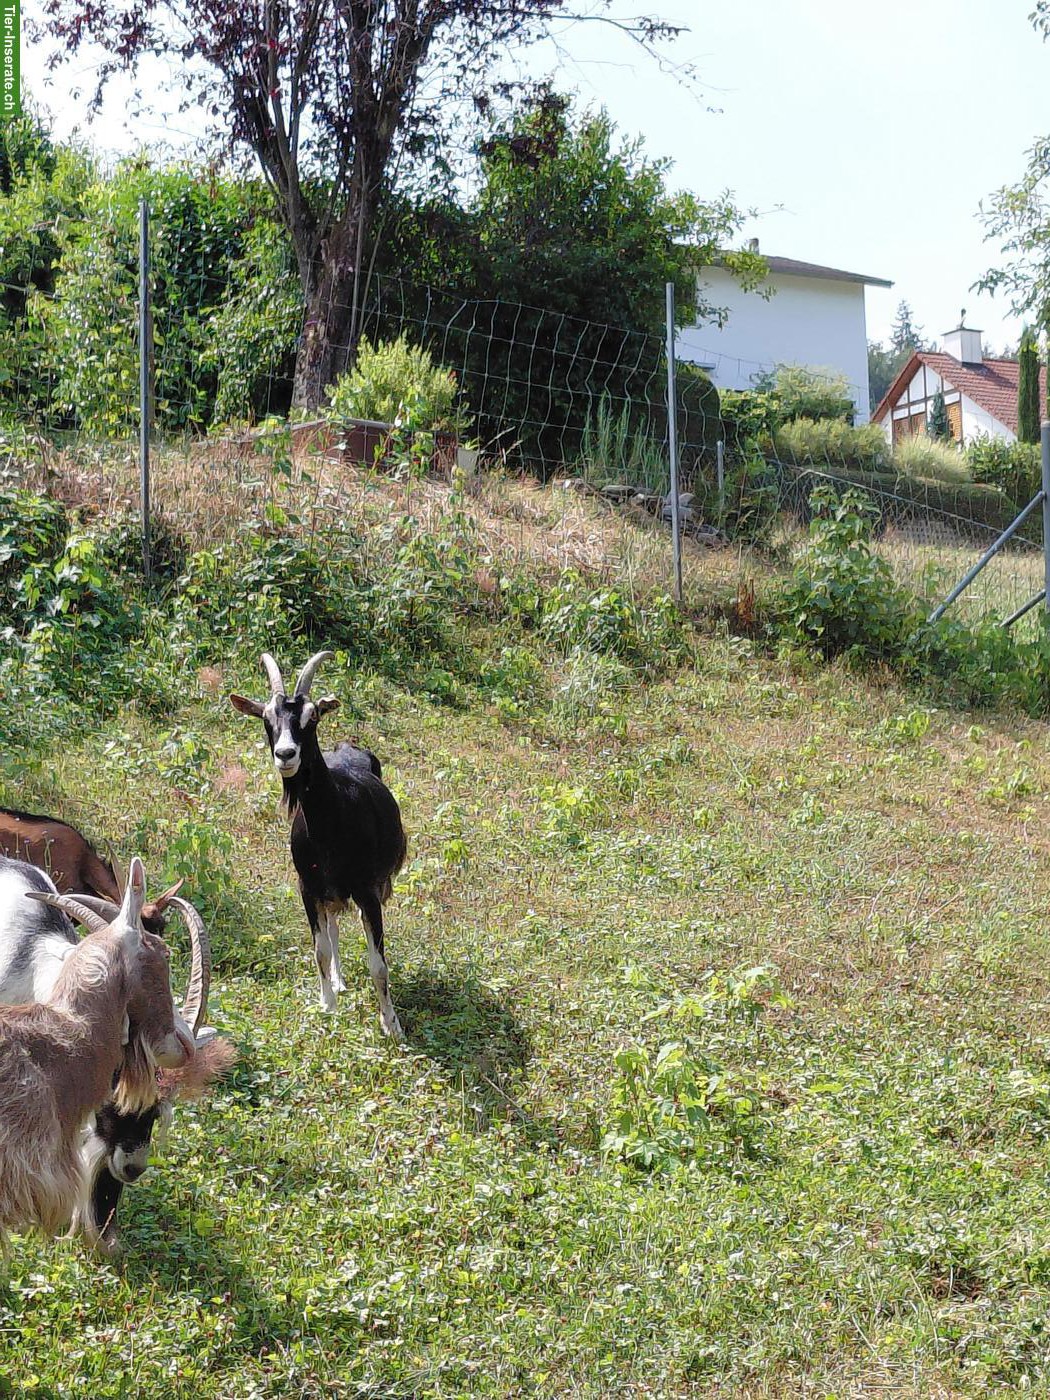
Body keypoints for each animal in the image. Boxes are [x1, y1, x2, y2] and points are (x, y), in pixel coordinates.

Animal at [231, 650, 408, 1039]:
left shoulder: (368, 892)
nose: (285, 755)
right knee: (334, 927)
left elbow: (378, 965)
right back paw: (339, 983)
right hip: (328, 893)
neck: (332, 822)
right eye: (266, 718)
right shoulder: (308, 888)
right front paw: (328, 1006)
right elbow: (320, 950)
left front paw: (392, 1025)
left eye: (311, 717)